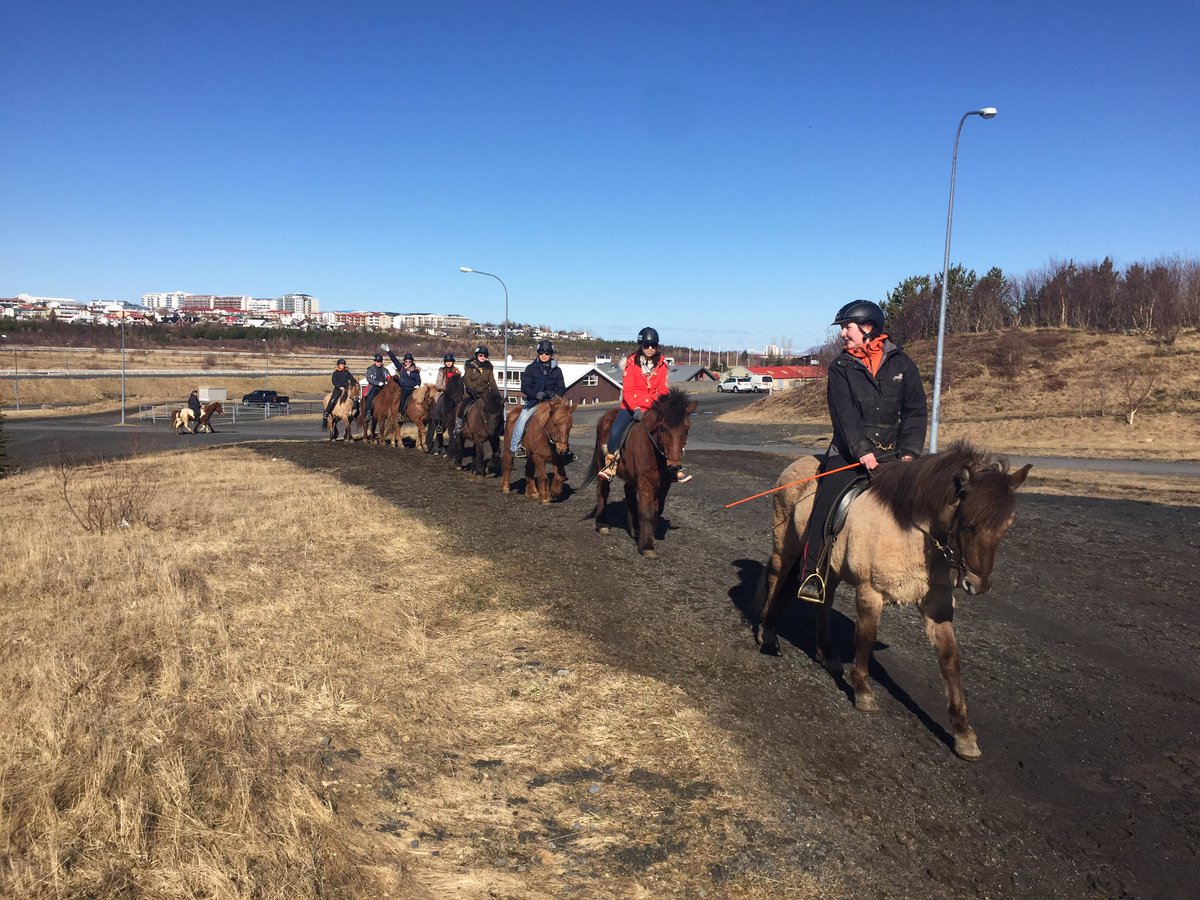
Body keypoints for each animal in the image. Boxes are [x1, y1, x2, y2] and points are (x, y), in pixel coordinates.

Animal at [587, 388, 697, 558]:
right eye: (663, 428)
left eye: (686, 429)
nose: (673, 466)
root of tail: (603, 418)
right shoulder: (646, 480)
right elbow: (647, 510)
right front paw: (646, 545)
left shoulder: (664, 483)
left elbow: (657, 509)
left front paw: (648, 534)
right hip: (603, 466)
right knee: (602, 491)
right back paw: (602, 524)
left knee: (628, 491)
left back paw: (634, 528)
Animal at [758, 440, 1031, 760]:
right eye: (969, 525)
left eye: (1006, 527)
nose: (977, 585)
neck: (912, 531)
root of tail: (795, 465)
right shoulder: (870, 591)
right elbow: (865, 637)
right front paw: (864, 692)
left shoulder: (937, 603)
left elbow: (950, 659)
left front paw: (964, 734)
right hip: (787, 544)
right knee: (777, 577)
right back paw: (767, 635)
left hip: (831, 566)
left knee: (824, 601)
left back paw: (827, 654)